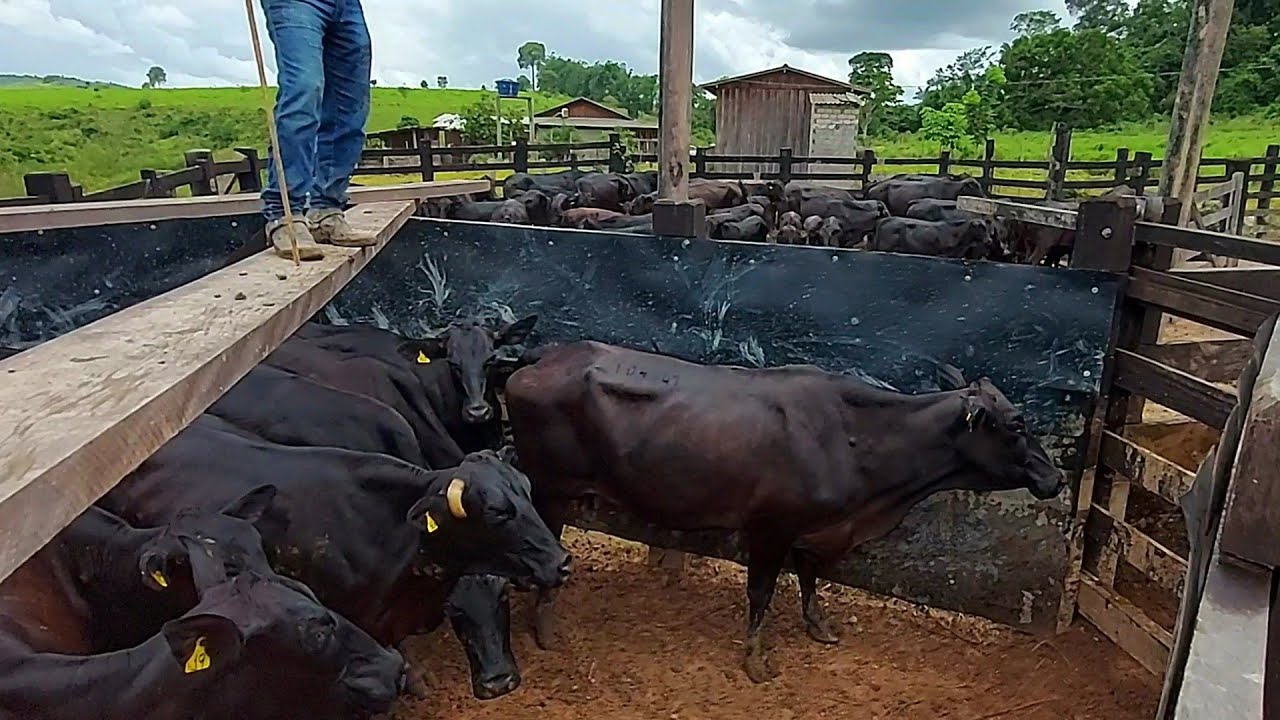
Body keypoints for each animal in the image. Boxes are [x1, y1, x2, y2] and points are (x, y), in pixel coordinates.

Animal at [505, 342, 1063, 683]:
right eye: (1016, 425)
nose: (1055, 478)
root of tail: (543, 357)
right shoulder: (769, 527)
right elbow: (762, 592)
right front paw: (756, 659)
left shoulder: (815, 529)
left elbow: (811, 578)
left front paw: (819, 625)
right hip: (549, 487)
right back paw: (545, 626)